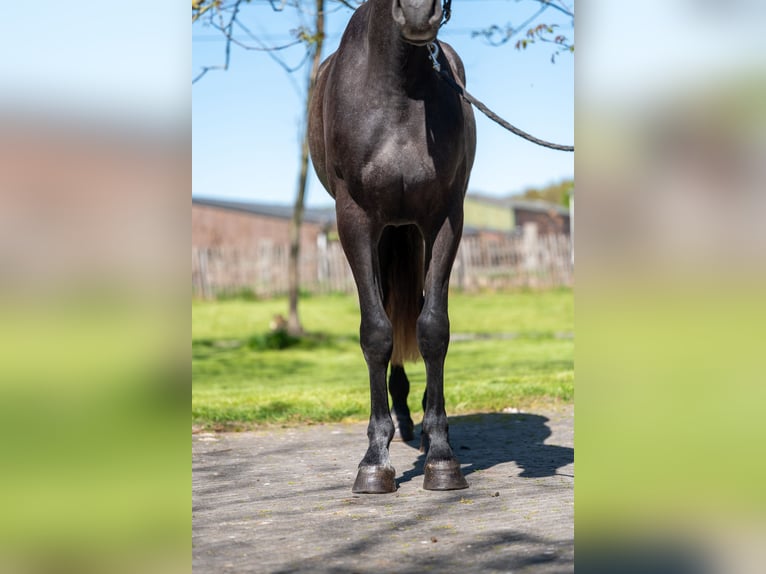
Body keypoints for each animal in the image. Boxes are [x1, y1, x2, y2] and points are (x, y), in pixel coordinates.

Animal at [308, 0, 476, 493]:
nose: (419, 13)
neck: (398, 92)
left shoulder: (444, 220)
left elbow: (433, 328)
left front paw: (441, 455)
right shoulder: (356, 222)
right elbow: (377, 333)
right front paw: (374, 461)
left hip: (409, 232)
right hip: (386, 235)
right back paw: (399, 421)